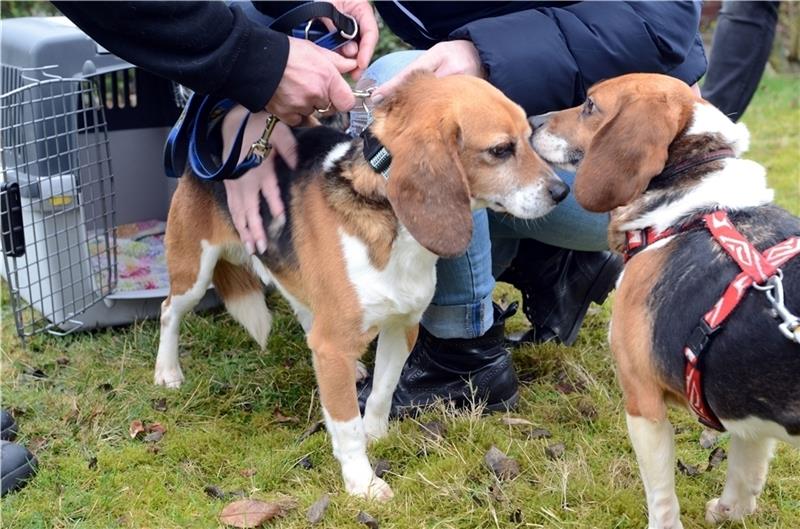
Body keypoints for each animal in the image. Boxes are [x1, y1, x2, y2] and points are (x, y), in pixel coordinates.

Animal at [155, 73, 568, 500]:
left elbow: (384, 390)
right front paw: (362, 482)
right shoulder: (336, 344)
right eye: (500, 150)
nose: (561, 192)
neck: (392, 221)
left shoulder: (402, 326)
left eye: (529, 135)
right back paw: (167, 372)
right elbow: (346, 425)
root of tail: (212, 128)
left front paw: (377, 434)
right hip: (193, 271)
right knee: (169, 311)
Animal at [532, 74, 800, 528]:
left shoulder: (642, 401)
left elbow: (661, 495)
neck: (690, 204)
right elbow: (745, 471)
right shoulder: (749, 412)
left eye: (590, 105)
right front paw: (730, 510)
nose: (531, 121)